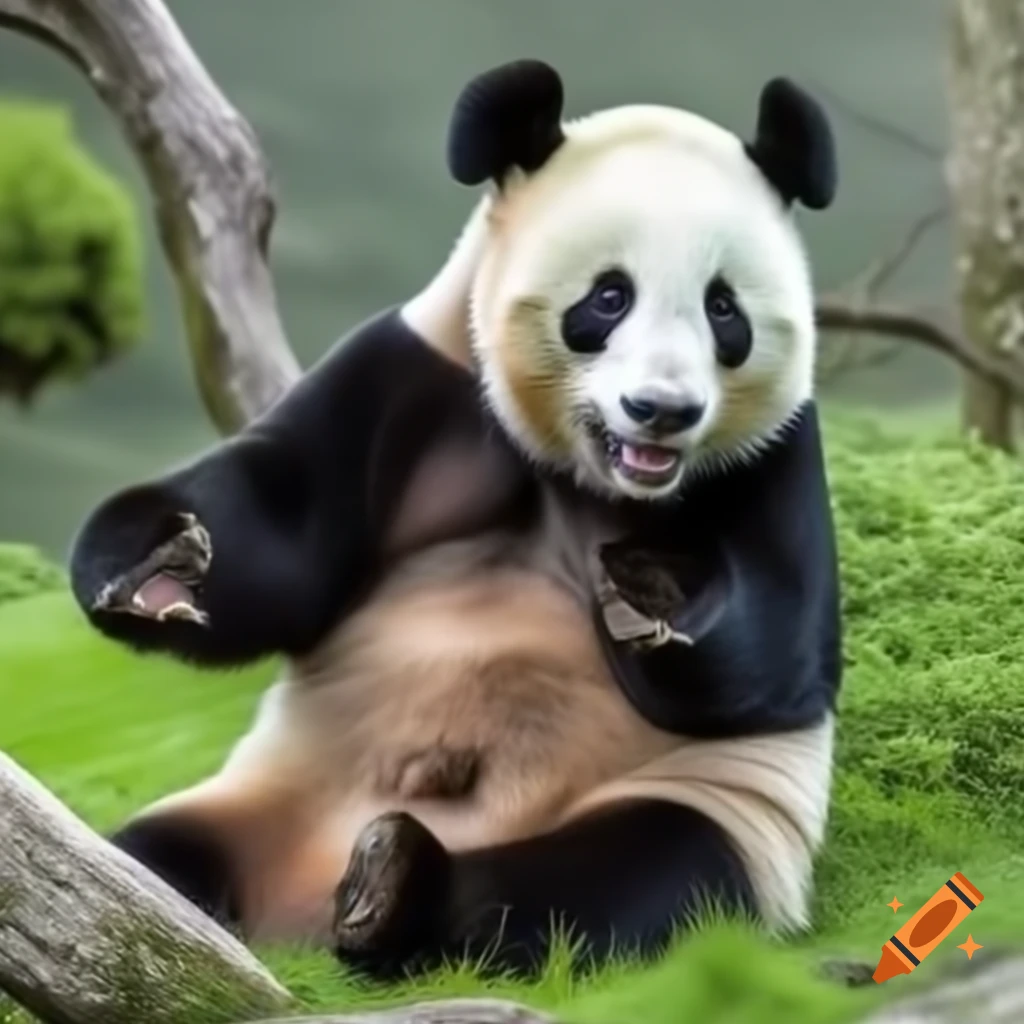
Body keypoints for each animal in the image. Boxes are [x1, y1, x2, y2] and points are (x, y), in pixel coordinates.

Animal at [68, 60, 841, 980]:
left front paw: (654, 592)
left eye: (725, 310)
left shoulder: (773, 452)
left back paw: (396, 892)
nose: (663, 411)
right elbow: (282, 542)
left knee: (610, 884)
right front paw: (154, 564)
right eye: (609, 297)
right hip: (257, 804)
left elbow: (778, 653)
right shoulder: (412, 372)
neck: (585, 470)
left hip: (715, 810)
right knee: (150, 860)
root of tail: (298, 912)